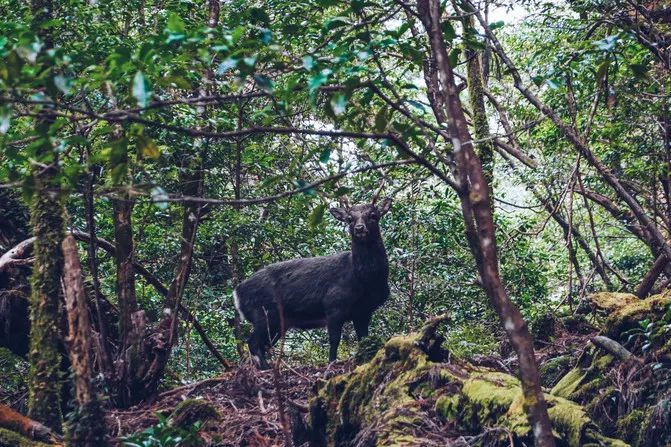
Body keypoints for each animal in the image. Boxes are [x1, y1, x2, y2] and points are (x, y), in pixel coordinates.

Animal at [235, 198, 394, 370]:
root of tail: (237, 293)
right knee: (253, 342)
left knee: (262, 345)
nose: (359, 228)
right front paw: (331, 363)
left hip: (277, 322)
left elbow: (363, 338)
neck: (364, 281)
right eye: (349, 219)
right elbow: (334, 339)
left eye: (373, 215)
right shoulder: (333, 304)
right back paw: (266, 369)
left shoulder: (363, 311)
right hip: (263, 313)